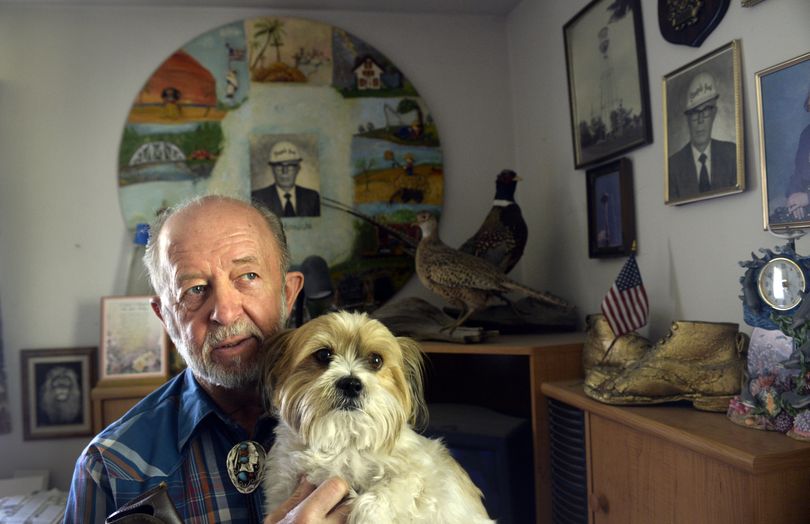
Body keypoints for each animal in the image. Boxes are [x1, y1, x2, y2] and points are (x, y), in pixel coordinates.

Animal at [262, 312, 496, 524]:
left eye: (376, 360)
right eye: (323, 355)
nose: (351, 384)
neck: (344, 442)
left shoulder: (417, 475)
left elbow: (383, 493)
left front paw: (366, 515)